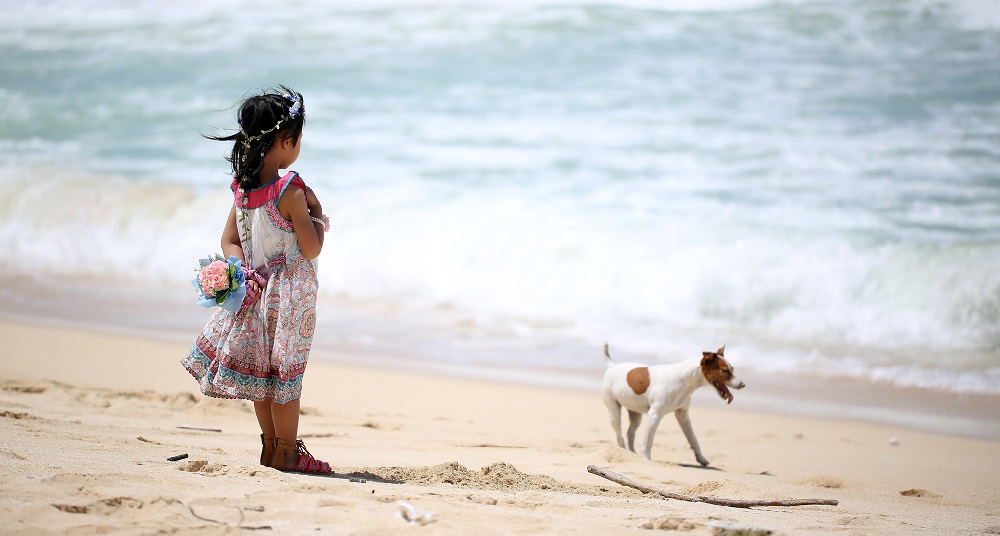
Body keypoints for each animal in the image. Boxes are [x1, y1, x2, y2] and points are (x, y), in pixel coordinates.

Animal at [600, 344, 744, 464]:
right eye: (724, 370)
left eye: (733, 369)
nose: (742, 384)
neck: (683, 380)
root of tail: (612, 366)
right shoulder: (654, 415)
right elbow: (648, 441)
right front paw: (646, 458)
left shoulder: (683, 416)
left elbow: (693, 439)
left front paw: (701, 458)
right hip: (614, 413)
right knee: (619, 435)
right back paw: (623, 450)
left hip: (635, 414)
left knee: (630, 432)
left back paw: (631, 453)